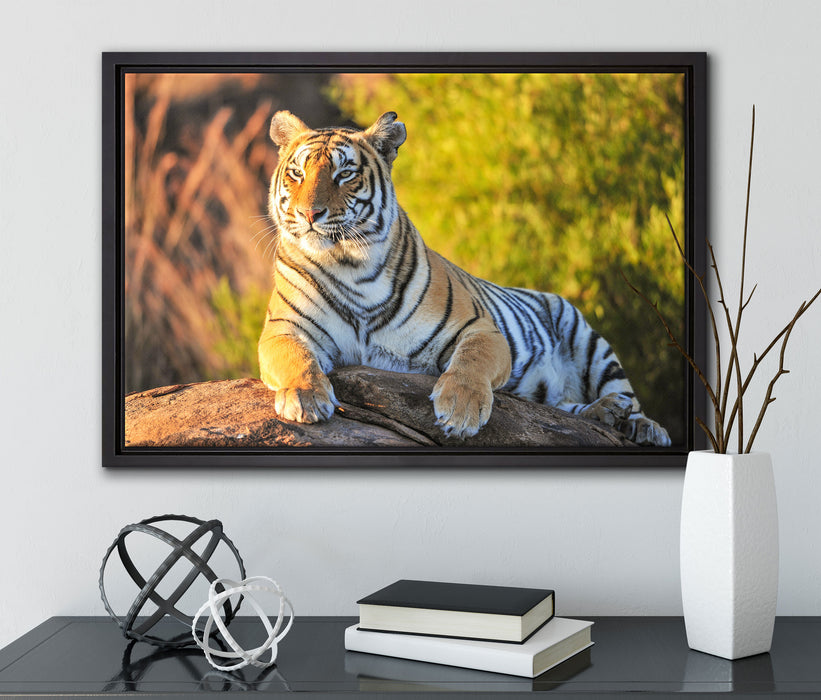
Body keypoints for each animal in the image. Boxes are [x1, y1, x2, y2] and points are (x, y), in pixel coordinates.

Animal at [258, 110, 671, 446]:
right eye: (296, 174)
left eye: (344, 174)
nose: (309, 213)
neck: (350, 265)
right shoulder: (283, 329)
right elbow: (296, 358)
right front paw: (306, 397)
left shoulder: (480, 328)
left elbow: (472, 361)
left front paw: (460, 410)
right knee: (565, 407)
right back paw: (606, 413)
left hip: (589, 342)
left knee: (624, 394)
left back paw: (642, 425)